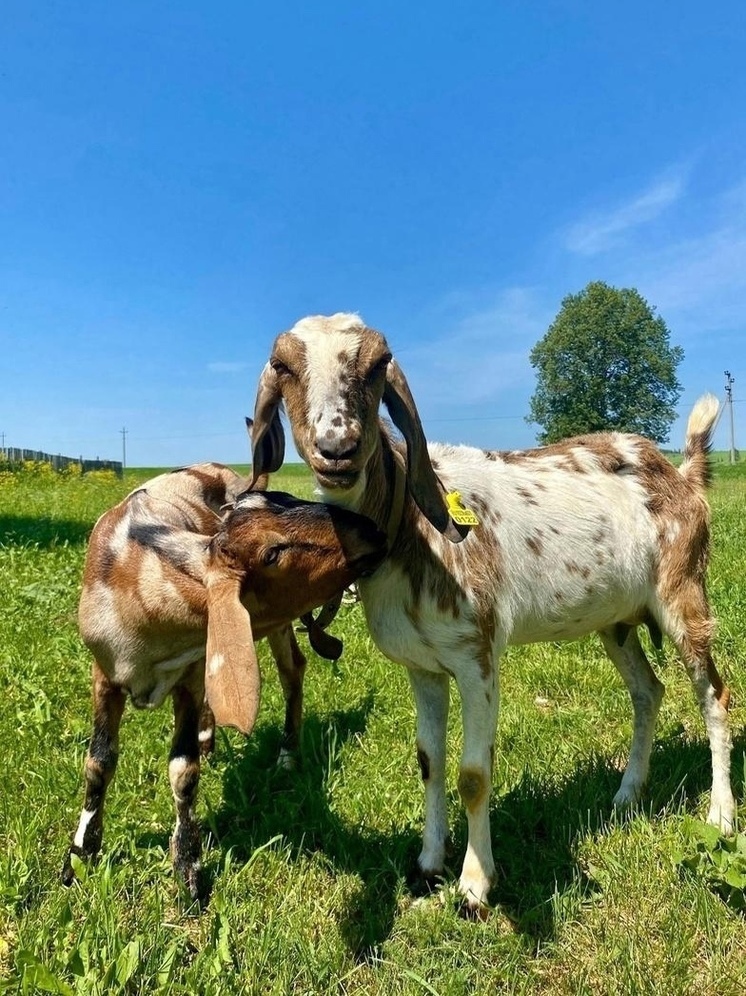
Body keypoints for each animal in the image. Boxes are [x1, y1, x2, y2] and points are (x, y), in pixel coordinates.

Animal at [62, 462, 384, 900]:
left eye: (285, 499)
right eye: (272, 553)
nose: (372, 531)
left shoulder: (189, 676)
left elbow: (182, 771)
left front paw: (188, 868)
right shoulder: (105, 675)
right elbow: (98, 763)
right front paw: (79, 855)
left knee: (292, 671)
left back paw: (286, 755)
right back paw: (210, 742)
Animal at [250, 316, 732, 916]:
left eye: (378, 366)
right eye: (284, 367)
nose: (337, 447)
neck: (414, 525)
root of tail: (682, 473)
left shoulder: (475, 655)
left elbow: (474, 774)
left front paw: (474, 887)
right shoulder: (423, 667)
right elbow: (429, 760)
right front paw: (428, 864)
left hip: (682, 589)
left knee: (714, 694)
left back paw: (721, 815)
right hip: (618, 618)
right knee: (648, 691)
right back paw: (626, 794)